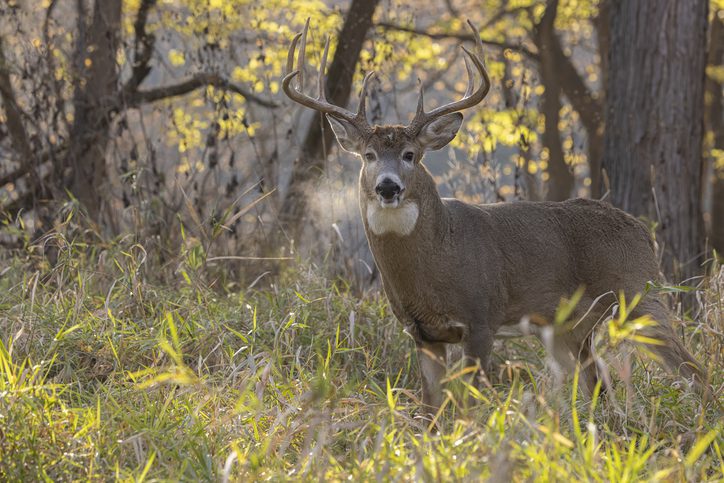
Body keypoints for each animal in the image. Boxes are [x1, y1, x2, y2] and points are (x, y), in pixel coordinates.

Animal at [282, 20, 704, 419]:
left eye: (410, 154)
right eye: (368, 156)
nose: (388, 187)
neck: (435, 261)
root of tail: (643, 231)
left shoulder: (481, 318)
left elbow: (469, 405)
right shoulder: (421, 333)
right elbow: (429, 412)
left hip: (640, 295)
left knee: (693, 369)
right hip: (568, 326)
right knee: (597, 383)